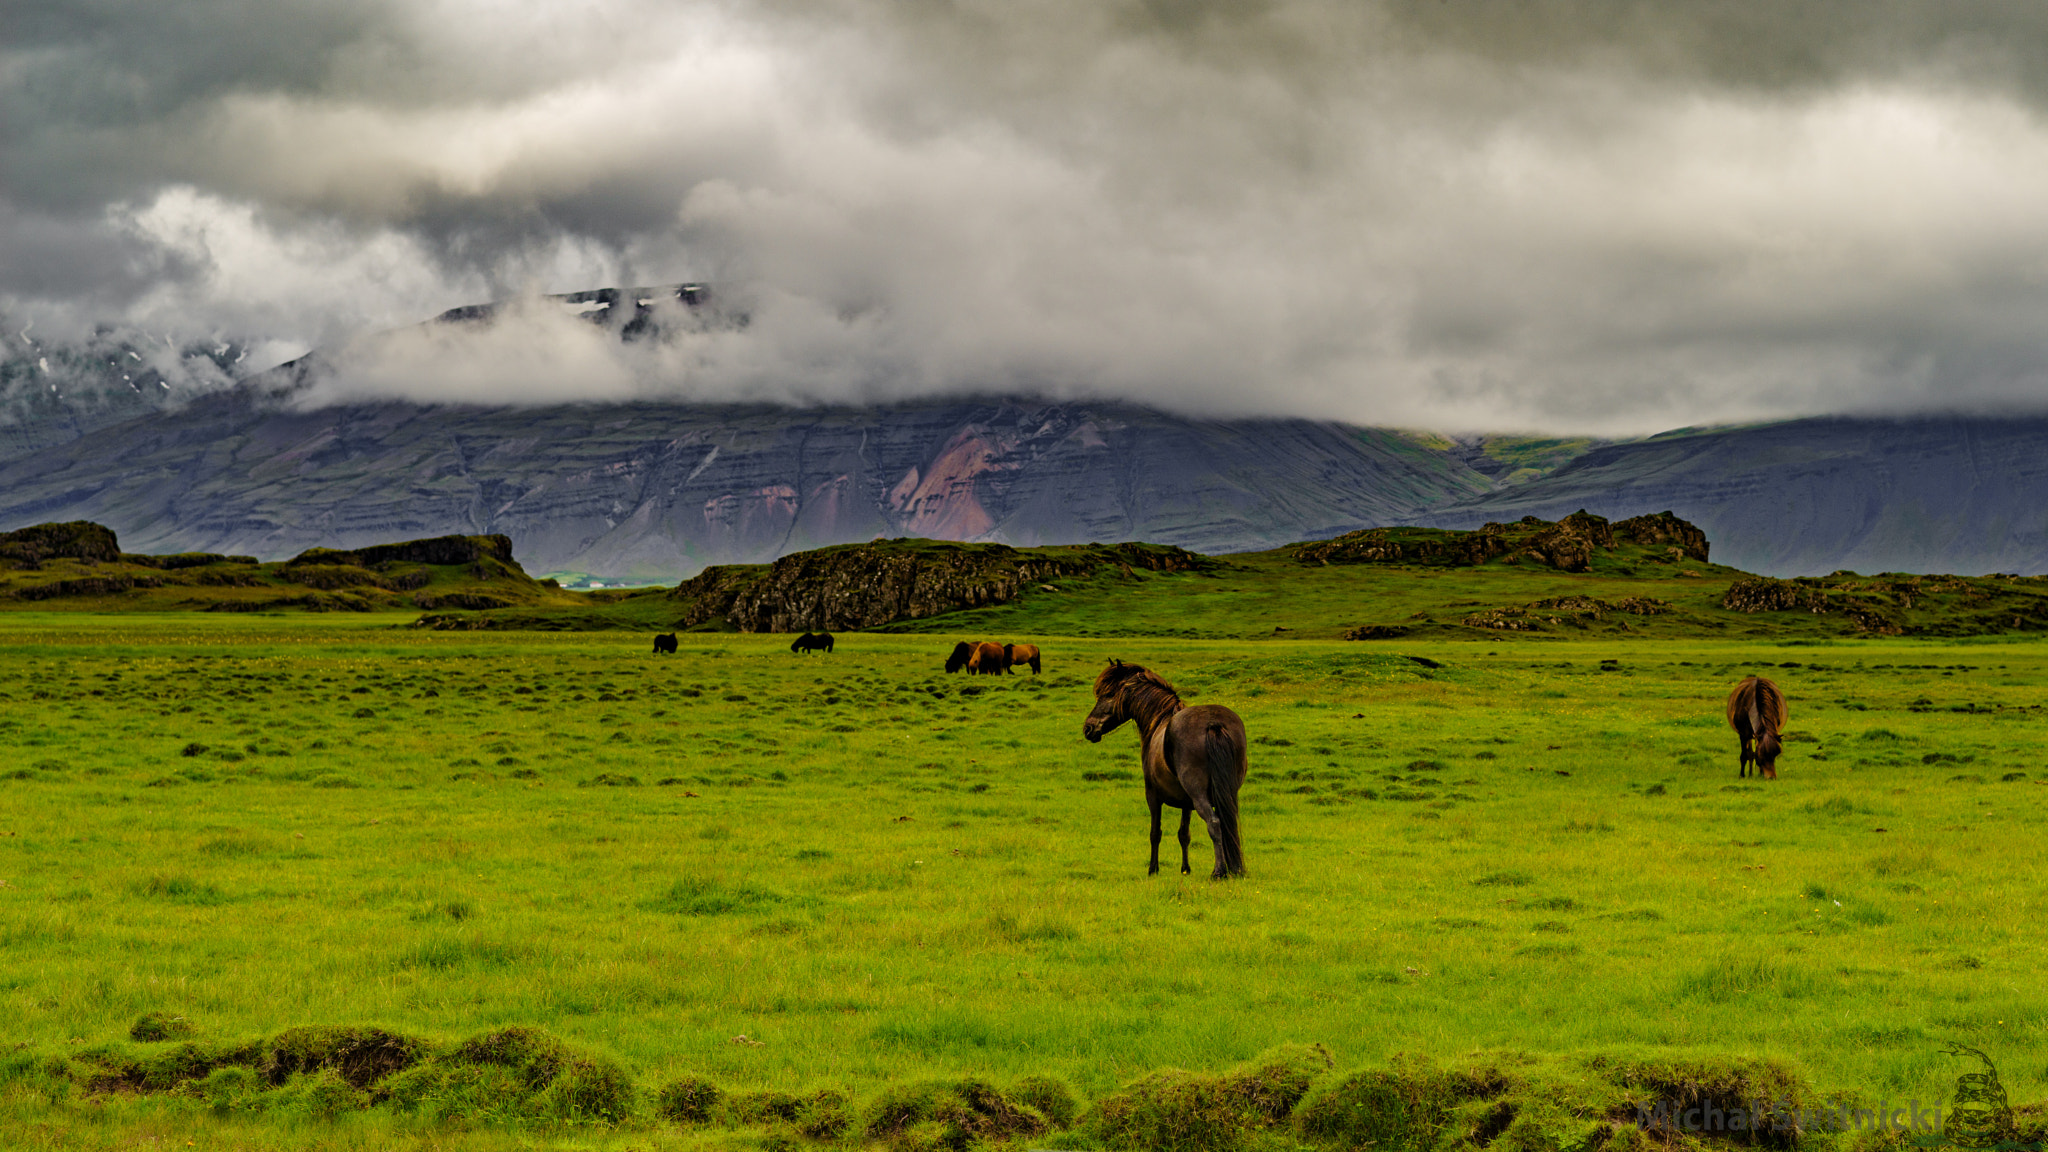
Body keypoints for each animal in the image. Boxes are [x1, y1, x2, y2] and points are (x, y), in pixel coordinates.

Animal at [1073, 660, 1245, 873]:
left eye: (1109, 694)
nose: (1088, 728)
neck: (1160, 720)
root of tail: (1213, 724)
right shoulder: (1186, 803)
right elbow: (1184, 834)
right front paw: (1185, 869)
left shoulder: (1153, 796)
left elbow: (1155, 833)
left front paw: (1153, 868)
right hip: (1227, 792)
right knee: (1229, 824)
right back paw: (1235, 870)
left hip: (1198, 794)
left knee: (1214, 823)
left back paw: (1219, 871)